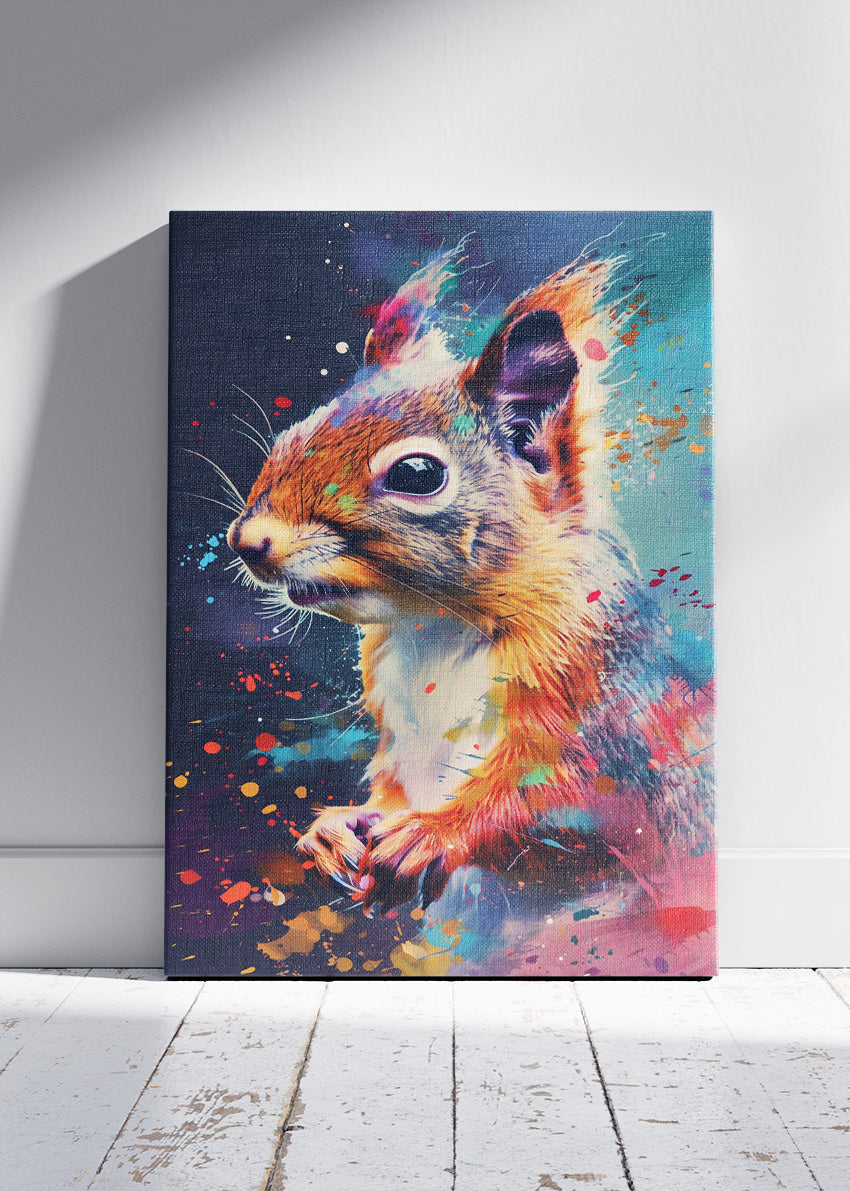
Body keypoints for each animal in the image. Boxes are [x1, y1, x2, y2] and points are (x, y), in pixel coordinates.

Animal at [227, 244, 714, 916]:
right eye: (288, 437)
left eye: (417, 473)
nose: (247, 542)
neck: (435, 627)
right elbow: (392, 792)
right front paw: (336, 828)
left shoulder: (600, 701)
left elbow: (552, 794)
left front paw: (433, 832)